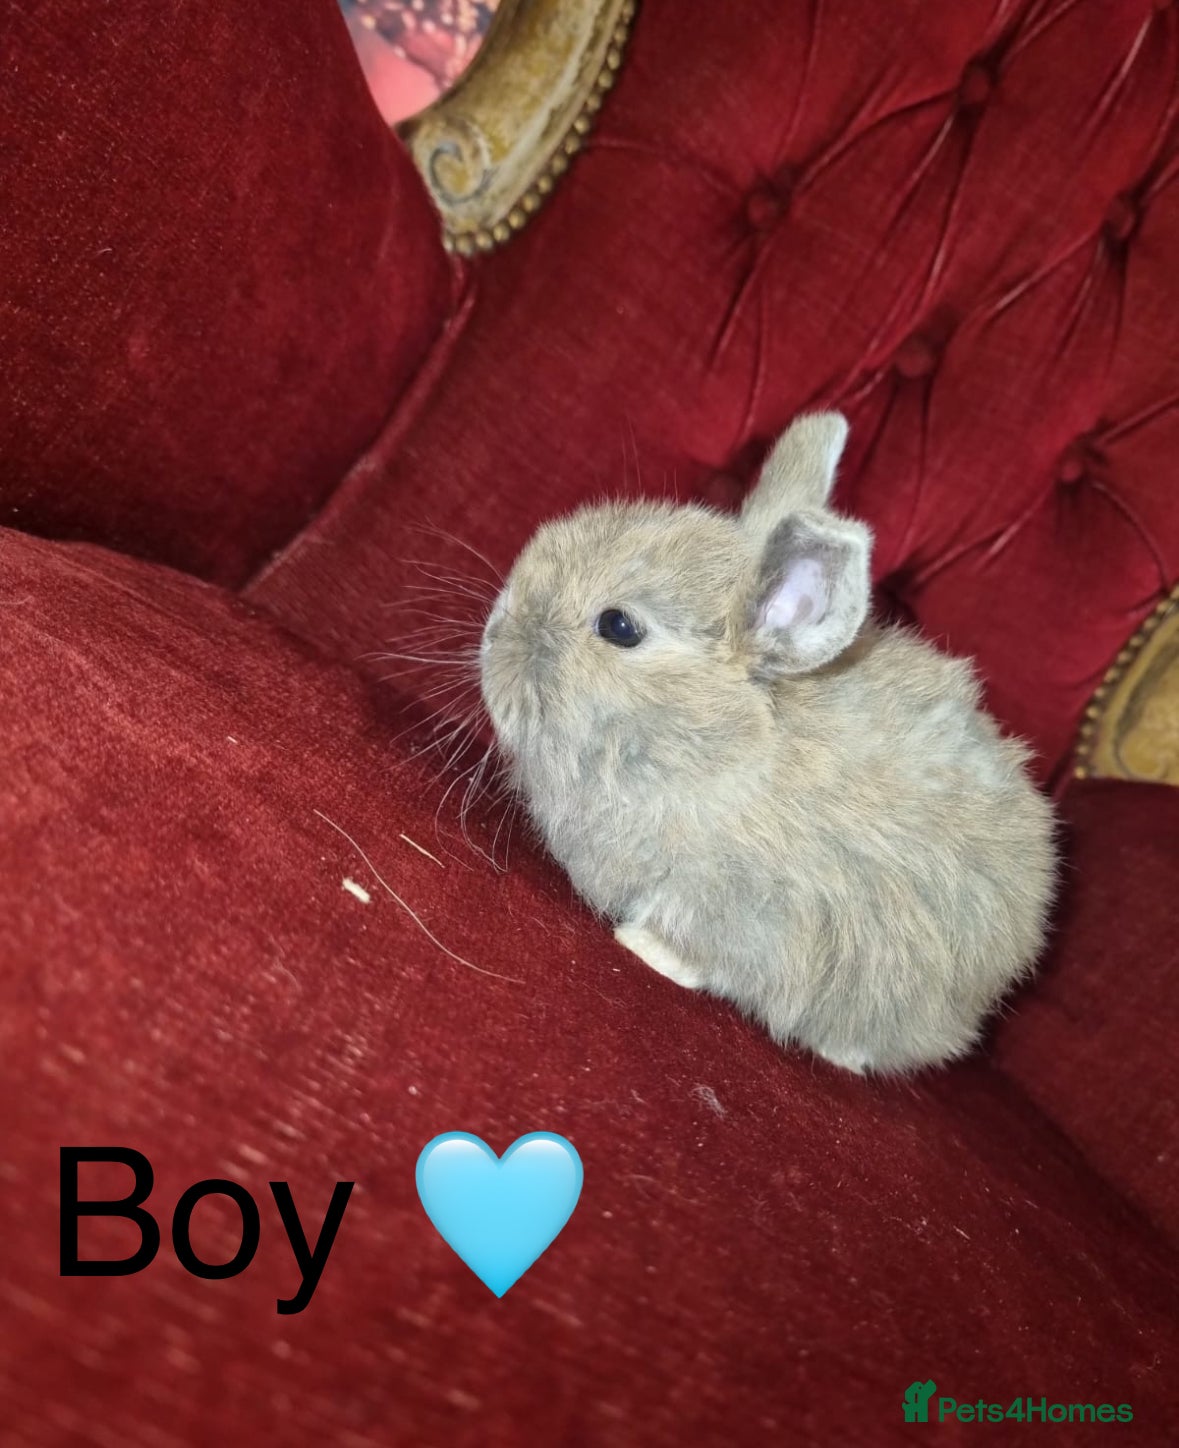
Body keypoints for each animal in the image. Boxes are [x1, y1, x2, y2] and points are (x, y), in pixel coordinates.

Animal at [478, 413, 1056, 1073]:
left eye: (618, 627)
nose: (494, 629)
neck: (723, 752)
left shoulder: (746, 907)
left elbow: (692, 940)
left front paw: (642, 946)